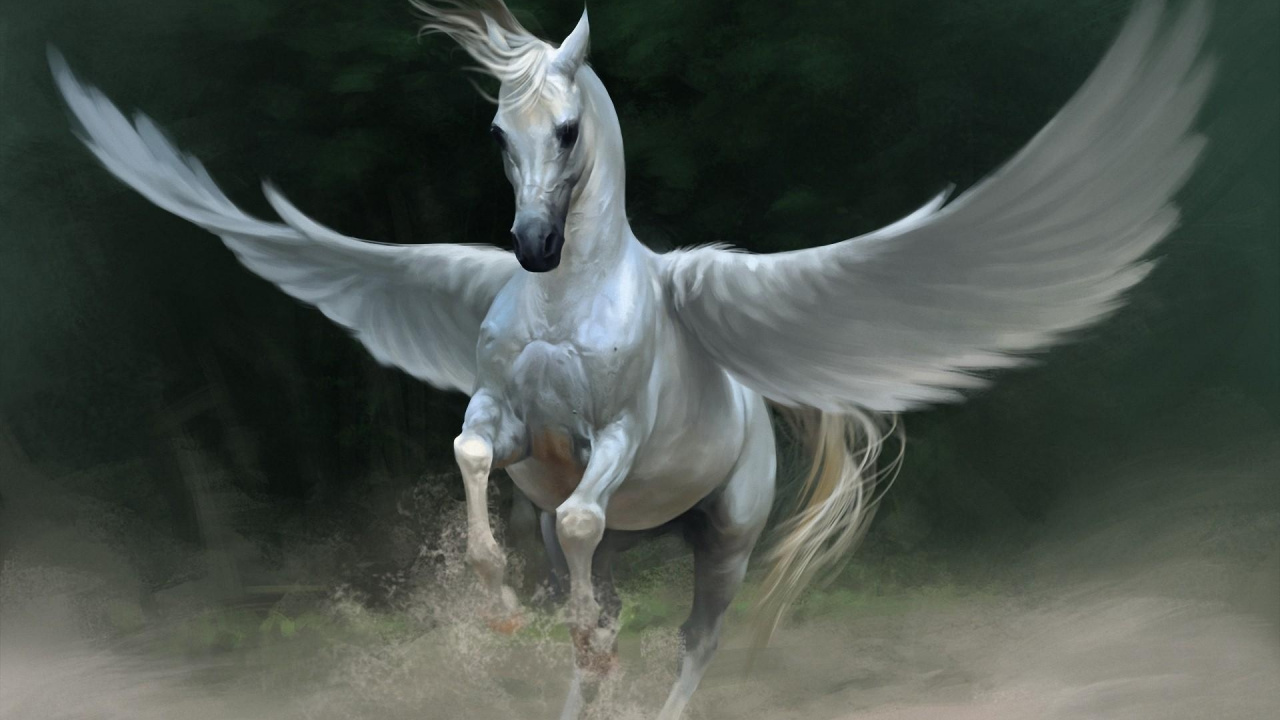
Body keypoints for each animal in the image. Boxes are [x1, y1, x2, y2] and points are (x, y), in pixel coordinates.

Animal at [50, 0, 1211, 717]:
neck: (570, 298)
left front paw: (537, 617)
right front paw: (498, 602)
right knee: (603, 606)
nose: (529, 245)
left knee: (693, 637)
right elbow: (478, 466)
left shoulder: (611, 438)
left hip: (725, 539)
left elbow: (574, 522)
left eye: (566, 131)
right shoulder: (508, 419)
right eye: (497, 131)